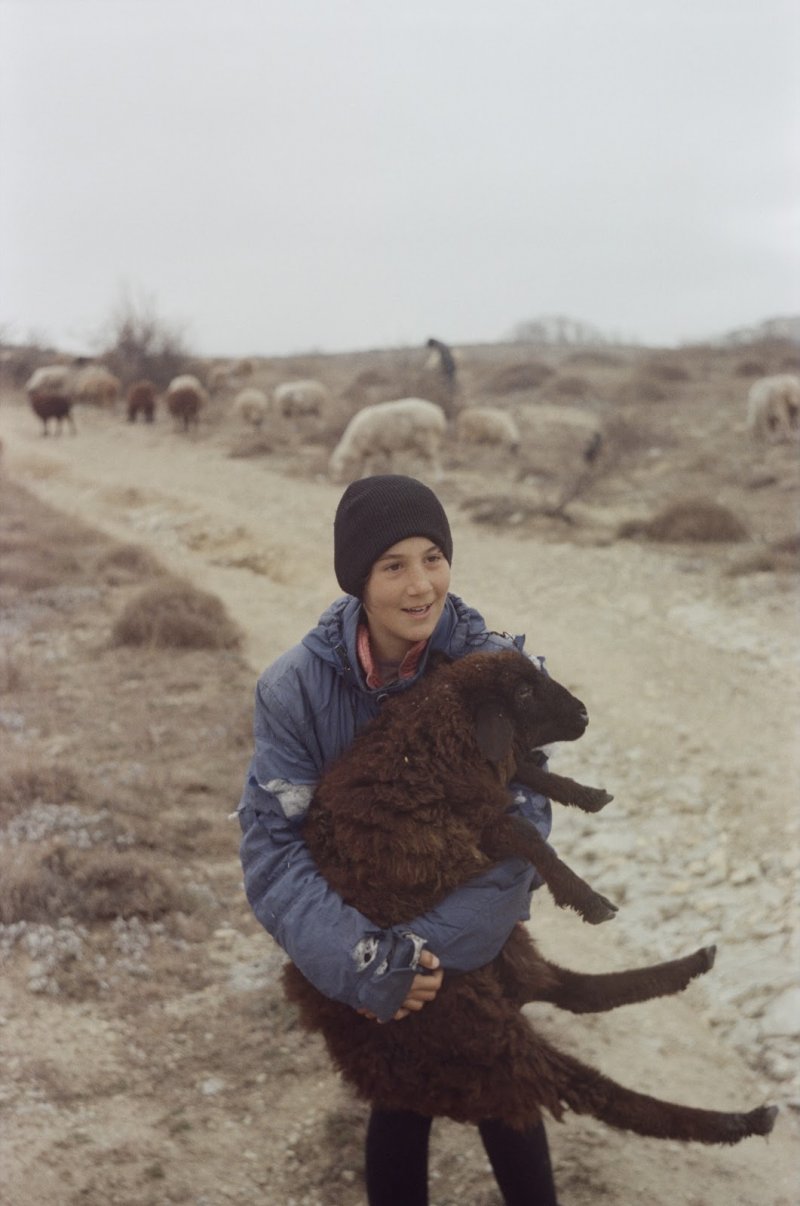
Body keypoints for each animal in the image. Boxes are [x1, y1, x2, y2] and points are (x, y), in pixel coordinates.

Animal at [283, 648, 777, 1146]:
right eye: (521, 691)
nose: (583, 715)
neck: (420, 748)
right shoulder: (471, 826)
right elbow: (525, 828)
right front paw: (587, 898)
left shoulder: (482, 796)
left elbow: (521, 768)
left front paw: (585, 793)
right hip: (480, 1029)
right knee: (588, 1085)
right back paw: (741, 1121)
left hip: (501, 960)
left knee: (573, 992)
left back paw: (697, 964)